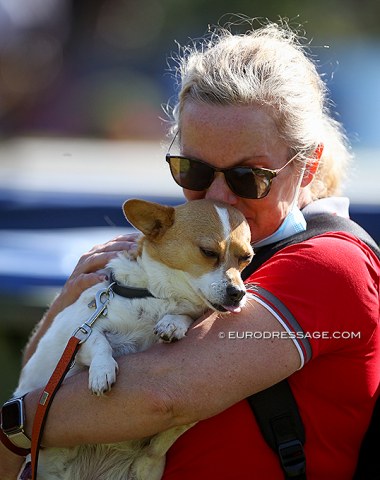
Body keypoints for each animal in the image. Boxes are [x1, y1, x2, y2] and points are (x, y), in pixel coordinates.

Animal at [14, 198, 254, 480]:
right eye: (208, 252)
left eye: (246, 258)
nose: (238, 293)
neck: (159, 296)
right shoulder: (81, 331)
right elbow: (99, 343)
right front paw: (102, 372)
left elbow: (182, 315)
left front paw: (172, 323)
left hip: (148, 467)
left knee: (158, 445)